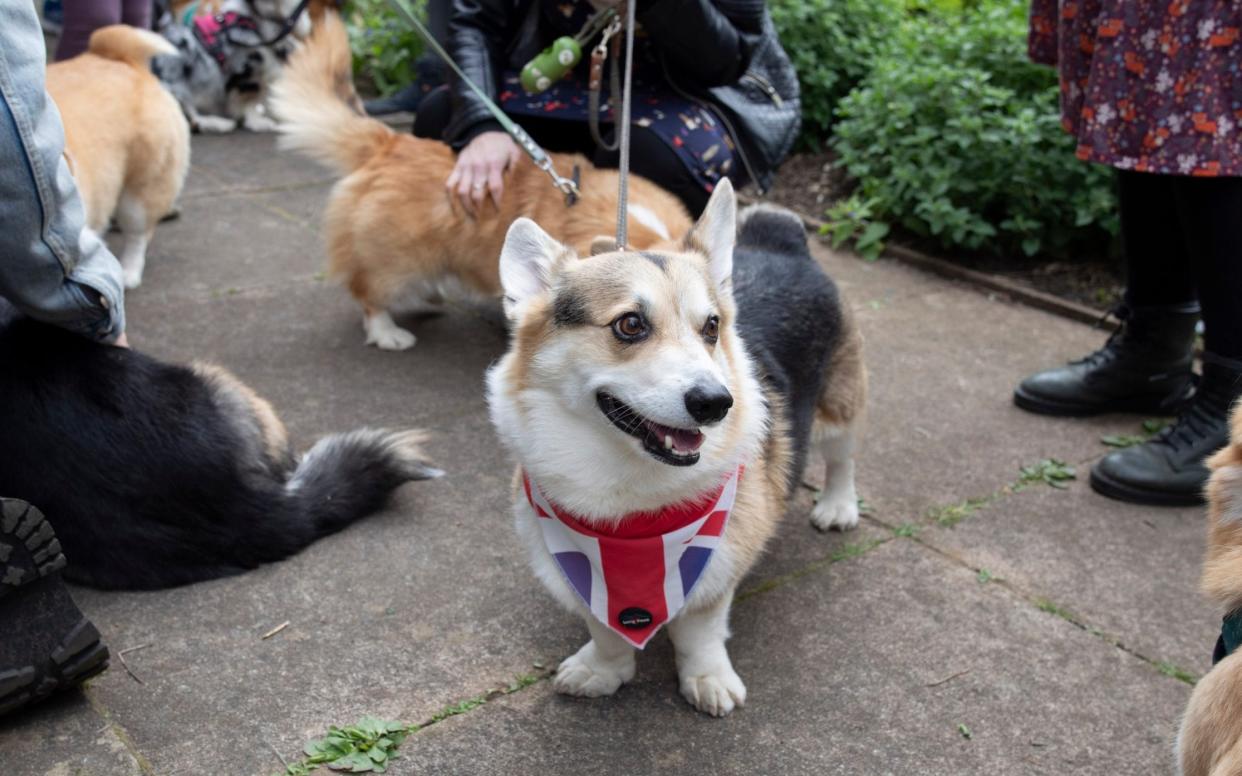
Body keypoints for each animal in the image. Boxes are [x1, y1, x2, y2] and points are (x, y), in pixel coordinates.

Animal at [481, 181, 864, 715]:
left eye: (712, 328)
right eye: (629, 324)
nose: (716, 403)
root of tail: (782, 239)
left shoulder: (717, 564)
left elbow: (700, 630)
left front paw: (708, 679)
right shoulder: (586, 577)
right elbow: (604, 628)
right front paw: (603, 670)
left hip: (840, 407)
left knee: (843, 457)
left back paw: (838, 506)